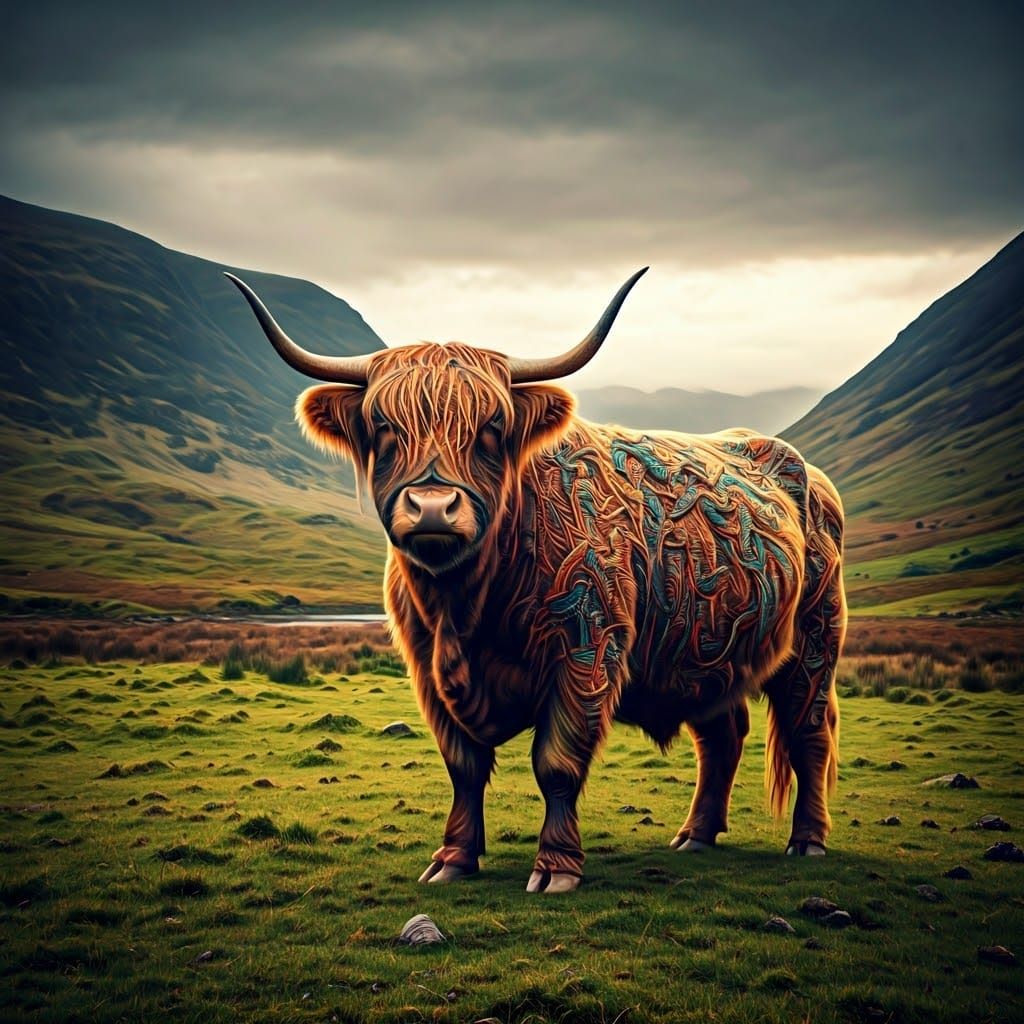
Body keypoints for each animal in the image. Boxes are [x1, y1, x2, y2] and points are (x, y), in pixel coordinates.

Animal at [227, 269, 845, 894]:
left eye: (492, 427)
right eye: (382, 425)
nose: (432, 508)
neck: (464, 603)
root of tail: (803, 469)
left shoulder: (586, 652)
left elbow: (557, 764)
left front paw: (556, 867)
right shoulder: (427, 669)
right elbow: (463, 767)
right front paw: (453, 859)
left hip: (816, 640)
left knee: (808, 731)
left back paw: (808, 841)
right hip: (706, 652)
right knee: (722, 735)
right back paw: (695, 835)